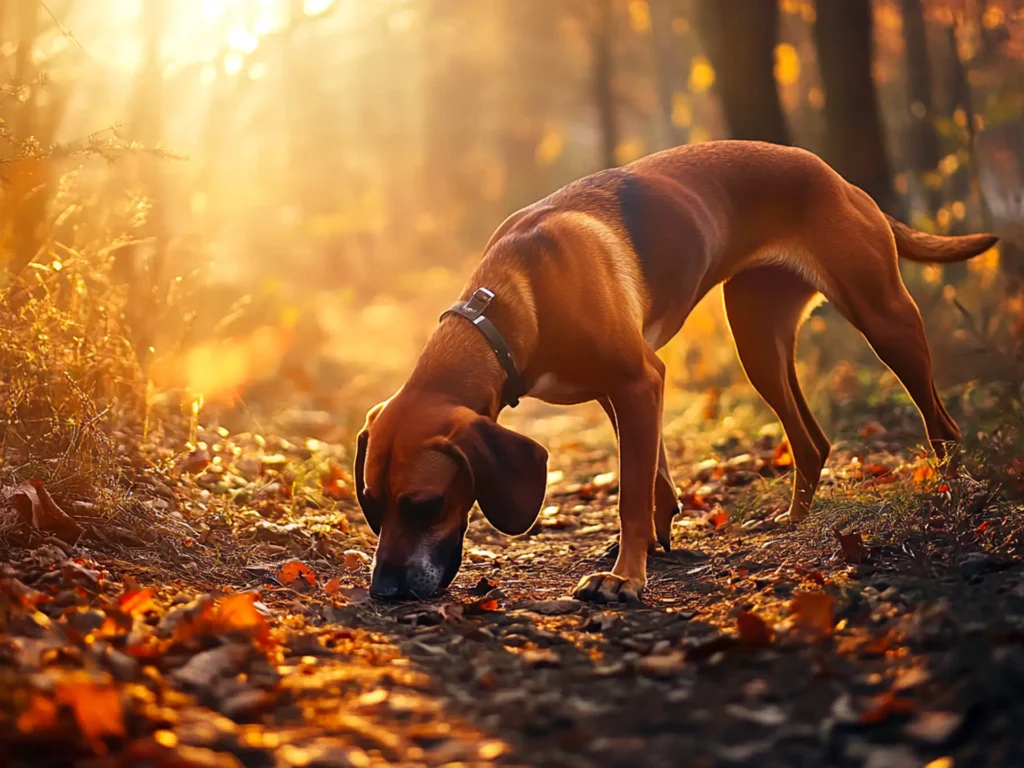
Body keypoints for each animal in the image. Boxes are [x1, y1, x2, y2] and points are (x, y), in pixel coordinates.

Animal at [356, 141, 995, 606]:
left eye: (425, 505)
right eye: (371, 506)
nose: (385, 592)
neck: (508, 304)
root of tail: (835, 175)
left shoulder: (639, 380)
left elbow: (631, 492)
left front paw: (625, 577)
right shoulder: (622, 393)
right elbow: (653, 479)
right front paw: (652, 545)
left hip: (884, 318)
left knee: (941, 424)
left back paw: (949, 493)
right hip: (758, 340)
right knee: (811, 441)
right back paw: (793, 520)